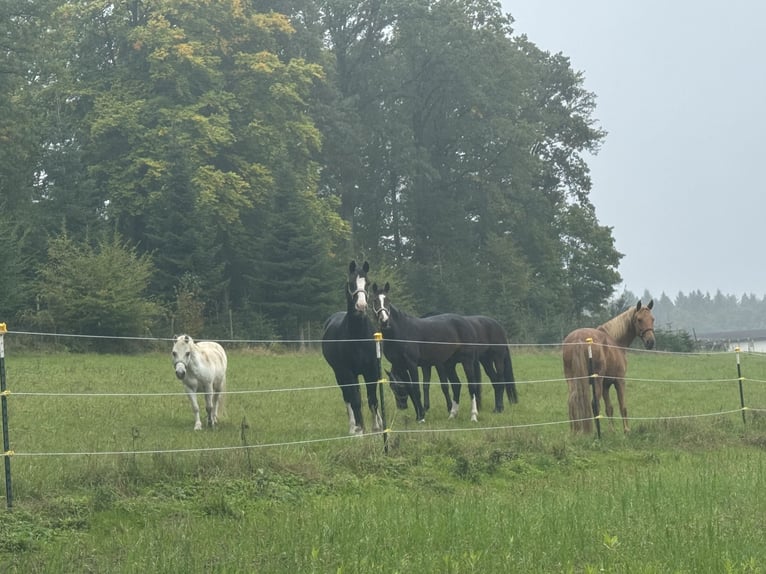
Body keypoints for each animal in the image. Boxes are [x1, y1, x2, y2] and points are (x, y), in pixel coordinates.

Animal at [321, 260, 383, 435]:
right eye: (351, 283)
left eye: (367, 283)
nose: (361, 306)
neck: (358, 337)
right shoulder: (347, 372)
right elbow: (355, 400)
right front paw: (360, 430)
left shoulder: (371, 370)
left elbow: (372, 399)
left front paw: (377, 428)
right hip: (341, 375)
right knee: (348, 397)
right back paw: (353, 426)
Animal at [371, 282, 481, 421]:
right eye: (375, 300)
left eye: (388, 300)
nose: (384, 321)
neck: (401, 331)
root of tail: (466, 322)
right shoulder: (401, 365)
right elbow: (411, 388)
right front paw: (419, 415)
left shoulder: (412, 364)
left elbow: (416, 388)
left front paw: (422, 418)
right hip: (449, 364)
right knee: (456, 385)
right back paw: (452, 415)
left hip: (467, 361)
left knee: (472, 386)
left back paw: (473, 416)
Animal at [562, 300, 656, 433]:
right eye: (639, 319)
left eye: (652, 319)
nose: (650, 342)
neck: (616, 342)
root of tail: (578, 339)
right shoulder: (619, 381)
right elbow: (623, 406)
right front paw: (626, 430)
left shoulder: (606, 385)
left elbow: (609, 408)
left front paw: (612, 431)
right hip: (596, 381)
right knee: (594, 404)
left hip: (572, 380)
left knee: (572, 402)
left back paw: (575, 432)